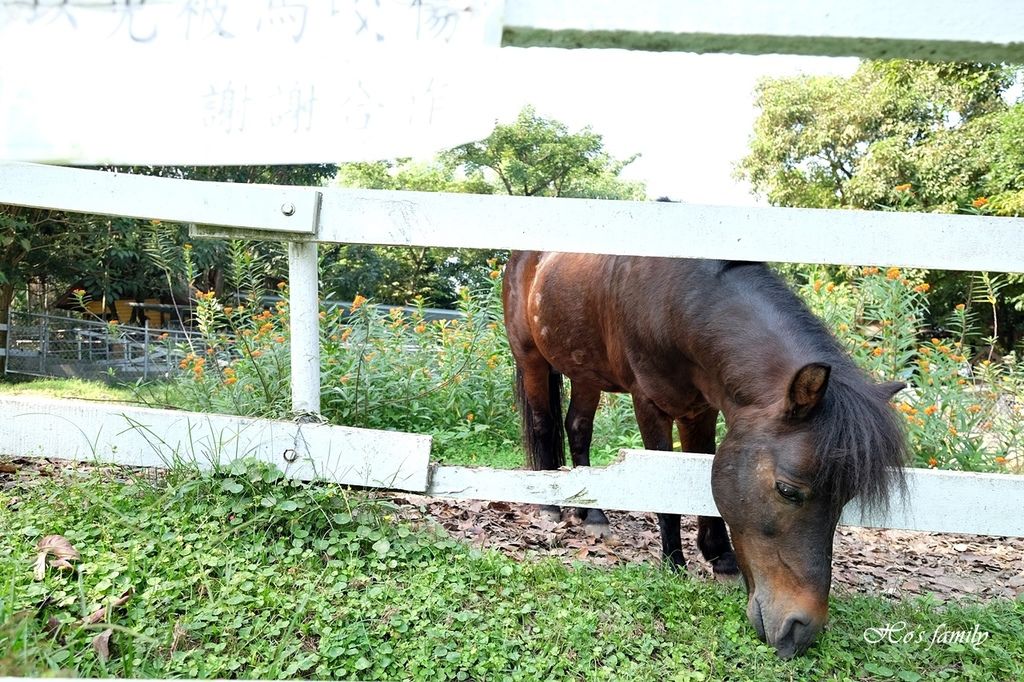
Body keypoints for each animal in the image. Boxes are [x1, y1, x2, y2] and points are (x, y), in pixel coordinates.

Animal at [503, 250, 905, 655]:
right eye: (788, 490)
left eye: (845, 500)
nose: (801, 629)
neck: (676, 300)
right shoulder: (650, 405)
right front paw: (673, 562)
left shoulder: (701, 410)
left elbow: (704, 468)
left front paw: (720, 557)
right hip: (531, 358)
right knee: (544, 425)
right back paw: (551, 506)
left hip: (586, 372)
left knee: (578, 428)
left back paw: (593, 514)